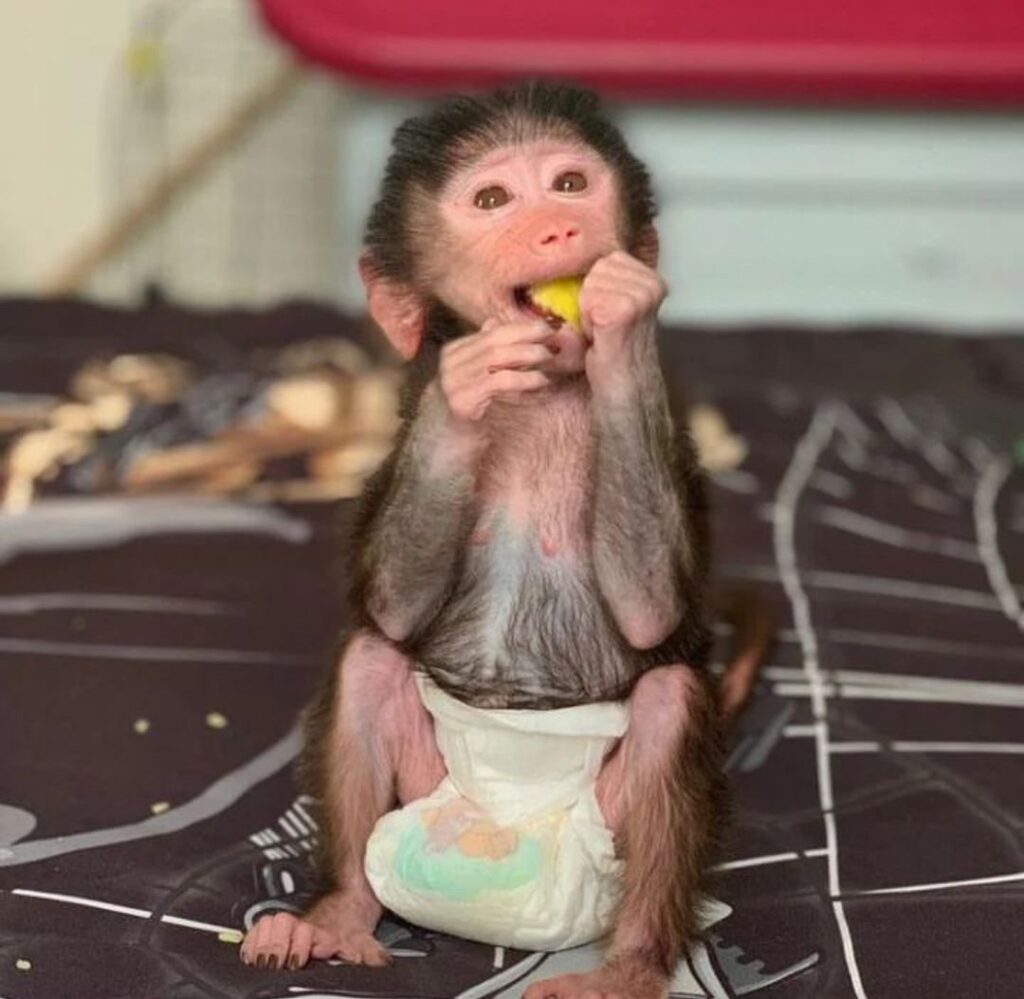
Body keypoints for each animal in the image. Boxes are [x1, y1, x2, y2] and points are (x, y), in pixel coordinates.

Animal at [240, 81, 768, 998]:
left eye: (569, 184)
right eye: (493, 201)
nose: (558, 227)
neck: (543, 397)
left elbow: (653, 614)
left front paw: (624, 328)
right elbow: (390, 604)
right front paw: (465, 396)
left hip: (603, 856)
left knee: (671, 701)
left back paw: (630, 966)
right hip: (425, 798)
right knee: (368, 659)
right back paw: (335, 914)